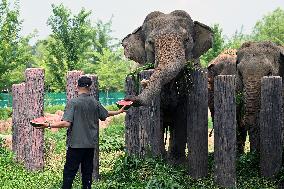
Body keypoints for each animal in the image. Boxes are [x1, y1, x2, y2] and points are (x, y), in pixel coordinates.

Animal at [122, 9, 213, 161]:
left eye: (187, 40)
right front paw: (161, 159)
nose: (129, 98)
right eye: (150, 42)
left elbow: (182, 114)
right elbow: (158, 115)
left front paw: (176, 162)